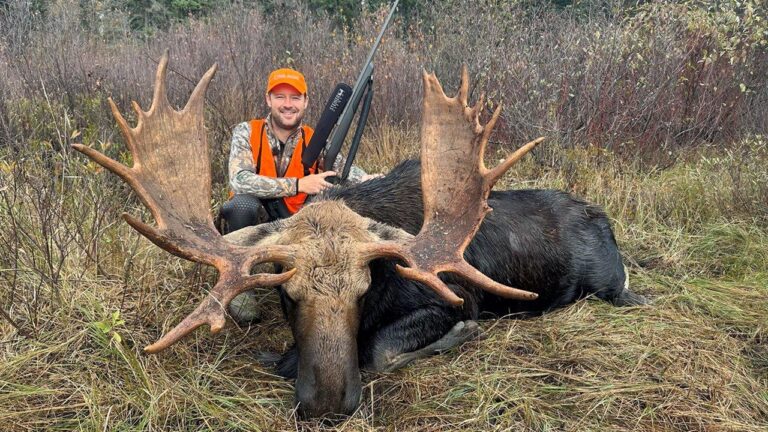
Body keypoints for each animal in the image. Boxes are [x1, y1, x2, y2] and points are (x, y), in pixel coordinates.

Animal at [73, 53, 647, 419]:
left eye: (365, 287)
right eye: (286, 293)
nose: (327, 405)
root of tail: (604, 219)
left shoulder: (454, 297)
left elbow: (381, 350)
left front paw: (459, 336)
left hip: (610, 287)